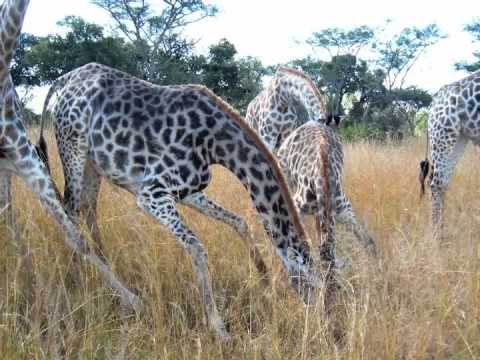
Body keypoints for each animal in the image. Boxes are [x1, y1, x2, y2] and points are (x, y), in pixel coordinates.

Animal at [36, 62, 338, 340]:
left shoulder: (188, 191)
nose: (327, 330)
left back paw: (103, 267)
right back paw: (101, 288)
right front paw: (219, 329)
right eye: (313, 287)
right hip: (72, 147)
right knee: (70, 218)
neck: (217, 143)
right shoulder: (151, 193)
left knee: (87, 208)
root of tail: (64, 80)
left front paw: (265, 282)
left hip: (93, 162)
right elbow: (197, 247)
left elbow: (239, 221)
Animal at [418, 70, 480, 240]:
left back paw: (442, 233)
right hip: (443, 134)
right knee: (435, 183)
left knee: (443, 181)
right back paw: (436, 237)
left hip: (460, 137)